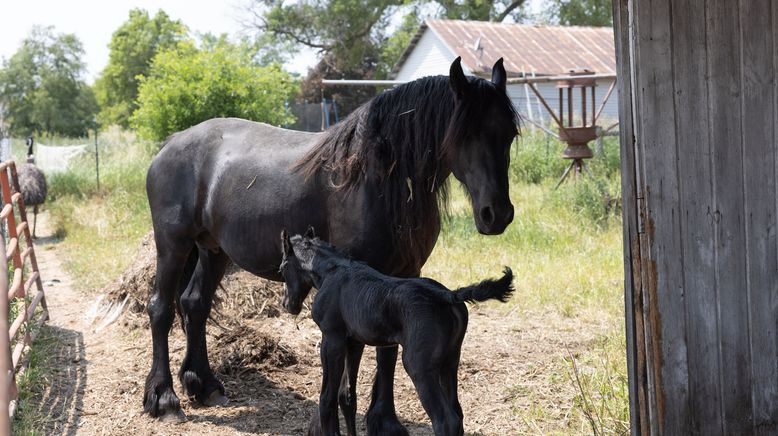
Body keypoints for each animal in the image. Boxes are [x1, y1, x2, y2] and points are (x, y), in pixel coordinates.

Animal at [276, 228, 512, 436]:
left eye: (283, 267)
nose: (288, 304)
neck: (332, 270)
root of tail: (447, 295)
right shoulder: (354, 341)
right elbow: (347, 395)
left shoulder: (331, 338)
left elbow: (327, 398)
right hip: (450, 362)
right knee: (458, 413)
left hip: (419, 366)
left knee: (446, 421)